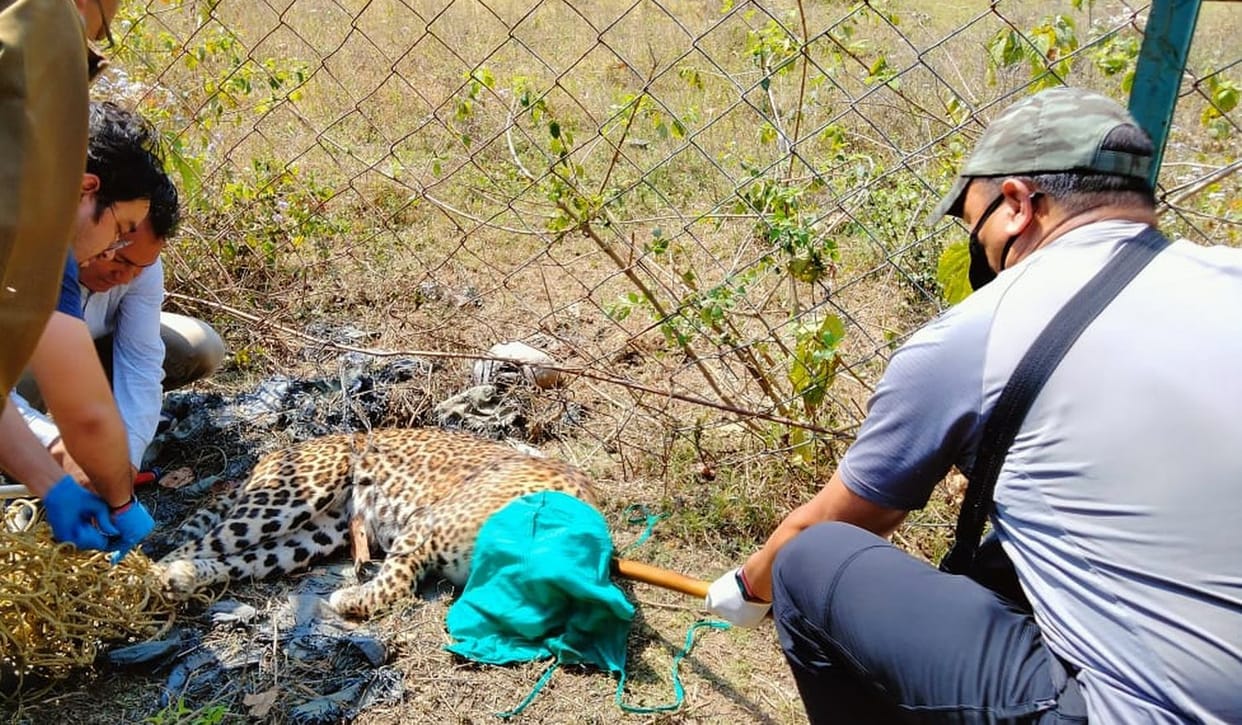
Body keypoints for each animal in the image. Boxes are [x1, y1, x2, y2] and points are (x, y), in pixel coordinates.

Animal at [153, 427, 597, 618]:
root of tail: (277, 452)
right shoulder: (421, 525)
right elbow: (396, 582)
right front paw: (350, 599)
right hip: (293, 495)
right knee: (190, 545)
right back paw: (152, 582)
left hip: (308, 537)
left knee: (234, 558)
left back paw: (184, 578)